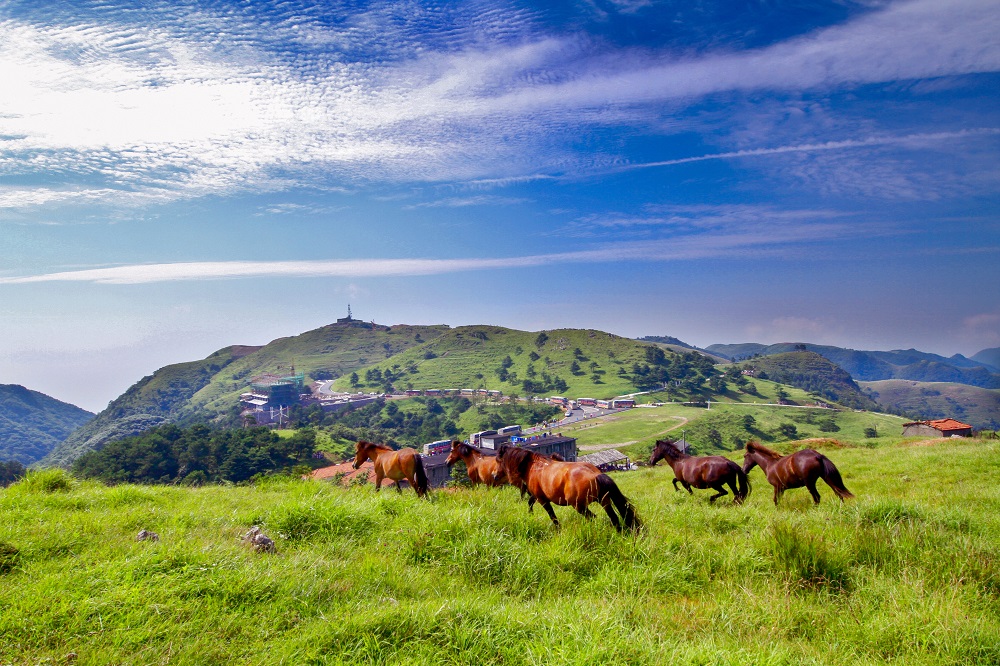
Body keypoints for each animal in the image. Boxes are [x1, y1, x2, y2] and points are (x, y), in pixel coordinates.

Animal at [492, 444, 640, 532]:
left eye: (499, 461)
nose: (494, 475)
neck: (533, 466)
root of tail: (596, 475)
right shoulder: (537, 495)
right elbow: (530, 502)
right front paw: (530, 515)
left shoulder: (542, 499)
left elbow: (552, 516)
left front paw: (558, 530)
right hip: (604, 501)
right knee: (613, 518)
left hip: (579, 506)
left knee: (593, 517)